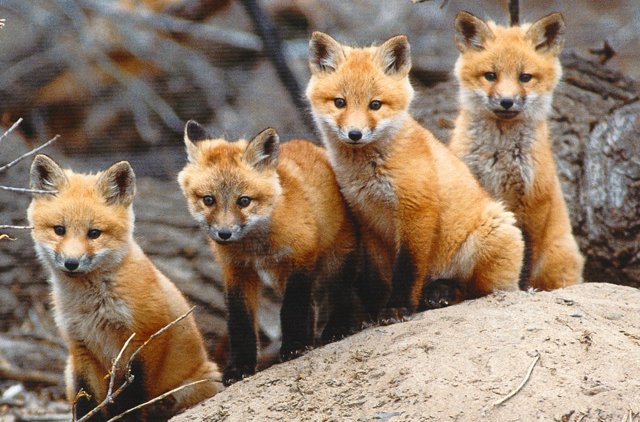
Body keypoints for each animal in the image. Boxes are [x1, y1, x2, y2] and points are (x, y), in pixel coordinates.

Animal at [27, 155, 220, 421]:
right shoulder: (80, 348)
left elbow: (132, 397)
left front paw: (128, 415)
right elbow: (86, 400)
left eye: (94, 233)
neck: (94, 308)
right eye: (59, 230)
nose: (71, 263)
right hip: (68, 370)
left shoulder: (145, 339)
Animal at [177, 121, 359, 386]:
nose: (224, 234)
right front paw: (240, 367)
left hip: (335, 259)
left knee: (340, 294)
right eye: (209, 200)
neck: (256, 247)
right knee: (314, 306)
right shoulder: (237, 270)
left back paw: (335, 329)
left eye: (244, 201)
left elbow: (291, 309)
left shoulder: (301, 256)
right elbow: (239, 322)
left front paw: (294, 346)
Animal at [305, 32, 525, 317]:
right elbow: (378, 276)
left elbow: (408, 269)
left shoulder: (417, 209)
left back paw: (441, 293)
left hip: (492, 239)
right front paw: (375, 312)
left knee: (473, 291)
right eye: (339, 103)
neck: (370, 172)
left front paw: (398, 306)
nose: (355, 134)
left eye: (375, 105)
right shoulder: (368, 220)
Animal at [448, 11, 584, 290]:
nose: (507, 101)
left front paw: (524, 289)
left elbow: (527, 258)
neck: (499, 156)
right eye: (490, 75)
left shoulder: (533, 203)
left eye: (525, 77)